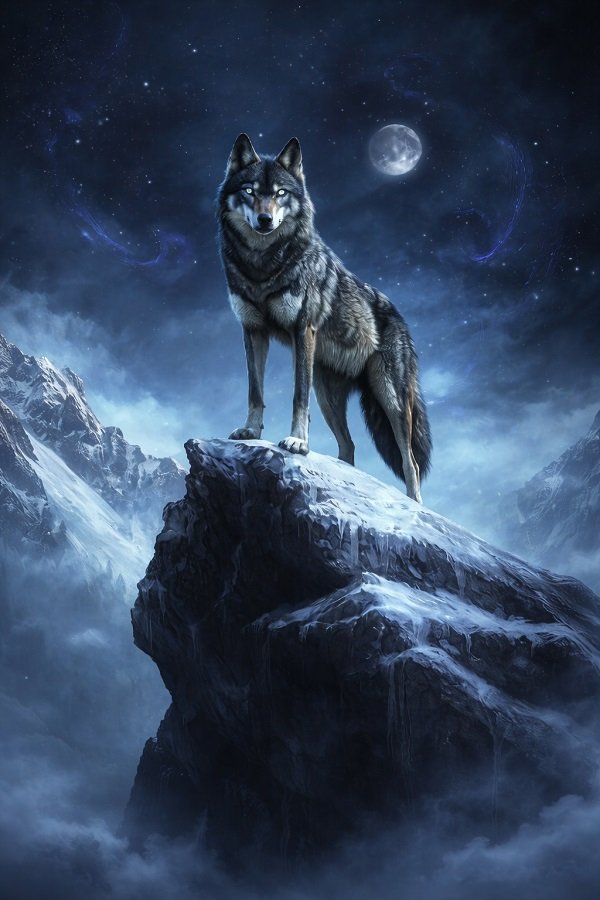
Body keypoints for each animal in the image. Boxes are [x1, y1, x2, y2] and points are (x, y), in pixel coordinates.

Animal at [217, 133, 432, 502]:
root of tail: (400, 318)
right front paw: (251, 430)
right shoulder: (253, 330)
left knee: (411, 463)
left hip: (390, 398)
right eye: (249, 191)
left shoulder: (303, 330)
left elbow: (296, 397)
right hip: (328, 397)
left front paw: (297, 443)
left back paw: (415, 504)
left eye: (280, 193)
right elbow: (255, 391)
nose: (264, 220)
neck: (262, 264)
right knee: (349, 447)